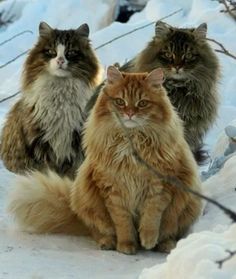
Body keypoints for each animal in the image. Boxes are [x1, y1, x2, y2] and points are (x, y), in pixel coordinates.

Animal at [0, 21, 102, 179]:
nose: (60, 60)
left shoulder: (77, 137)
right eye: (51, 52)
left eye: (71, 52)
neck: (61, 94)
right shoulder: (40, 140)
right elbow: (47, 168)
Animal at [8, 66, 202, 255]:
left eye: (142, 103)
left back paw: (164, 245)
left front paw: (147, 240)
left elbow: (151, 216)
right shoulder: (113, 190)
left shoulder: (161, 185)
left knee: (170, 232)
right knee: (100, 232)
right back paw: (108, 243)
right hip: (89, 203)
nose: (129, 113)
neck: (131, 142)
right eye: (120, 102)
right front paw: (126, 246)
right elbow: (123, 223)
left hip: (186, 208)